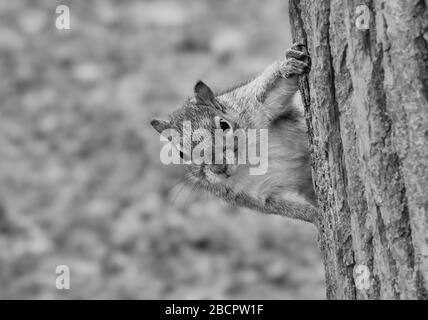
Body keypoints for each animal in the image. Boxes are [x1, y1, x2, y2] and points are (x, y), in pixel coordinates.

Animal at [150, 44, 318, 222]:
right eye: (181, 154)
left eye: (224, 124)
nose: (219, 168)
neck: (246, 160)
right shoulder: (250, 195)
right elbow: (290, 208)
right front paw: (319, 217)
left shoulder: (250, 105)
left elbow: (275, 87)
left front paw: (290, 64)